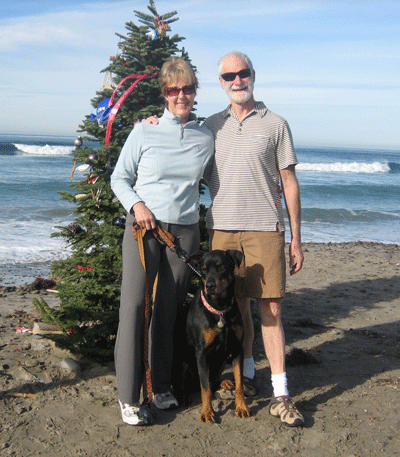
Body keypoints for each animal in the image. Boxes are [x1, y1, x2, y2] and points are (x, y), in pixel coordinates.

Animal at [185, 249, 250, 420]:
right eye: (203, 269)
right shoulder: (202, 353)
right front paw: (207, 412)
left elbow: (239, 383)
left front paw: (242, 407)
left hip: (222, 358)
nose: (210, 286)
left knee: (213, 381)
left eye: (222, 267)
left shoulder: (237, 349)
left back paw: (224, 382)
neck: (220, 309)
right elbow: (205, 388)